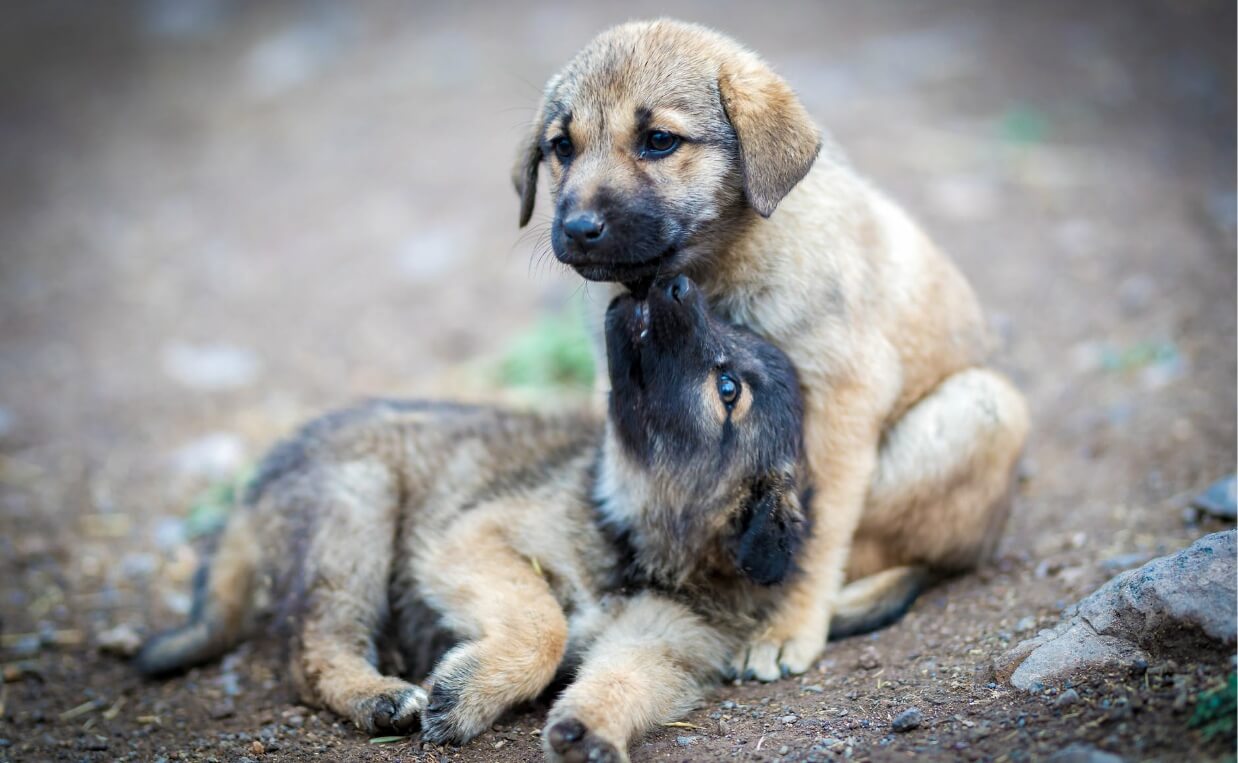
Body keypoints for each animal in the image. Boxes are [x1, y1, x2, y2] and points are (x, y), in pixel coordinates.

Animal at [512, 17, 1034, 678]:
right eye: (561, 148)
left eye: (659, 141)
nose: (579, 230)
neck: (721, 263)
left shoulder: (843, 401)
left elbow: (816, 533)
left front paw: (788, 628)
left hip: (983, 408)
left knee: (905, 555)